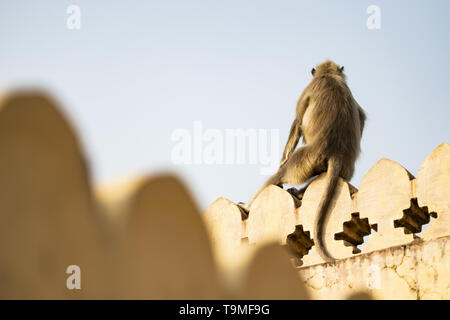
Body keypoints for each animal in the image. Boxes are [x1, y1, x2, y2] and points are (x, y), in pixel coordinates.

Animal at [248, 60, 368, 262]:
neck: (330, 75)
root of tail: (337, 152)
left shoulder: (310, 87)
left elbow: (297, 121)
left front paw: (282, 160)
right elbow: (362, 117)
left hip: (304, 158)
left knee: (279, 176)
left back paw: (248, 208)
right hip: (338, 167)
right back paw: (299, 192)